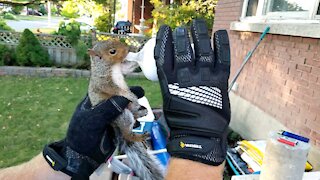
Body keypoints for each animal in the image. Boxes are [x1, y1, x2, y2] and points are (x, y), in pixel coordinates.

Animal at [87, 39, 164, 180]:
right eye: (112, 51)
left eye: (117, 40)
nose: (128, 49)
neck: (113, 66)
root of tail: (114, 124)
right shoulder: (103, 82)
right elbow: (114, 90)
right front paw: (128, 94)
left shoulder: (122, 68)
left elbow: (129, 66)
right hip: (123, 116)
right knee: (127, 133)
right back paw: (138, 136)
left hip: (131, 109)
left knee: (135, 114)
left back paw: (141, 112)